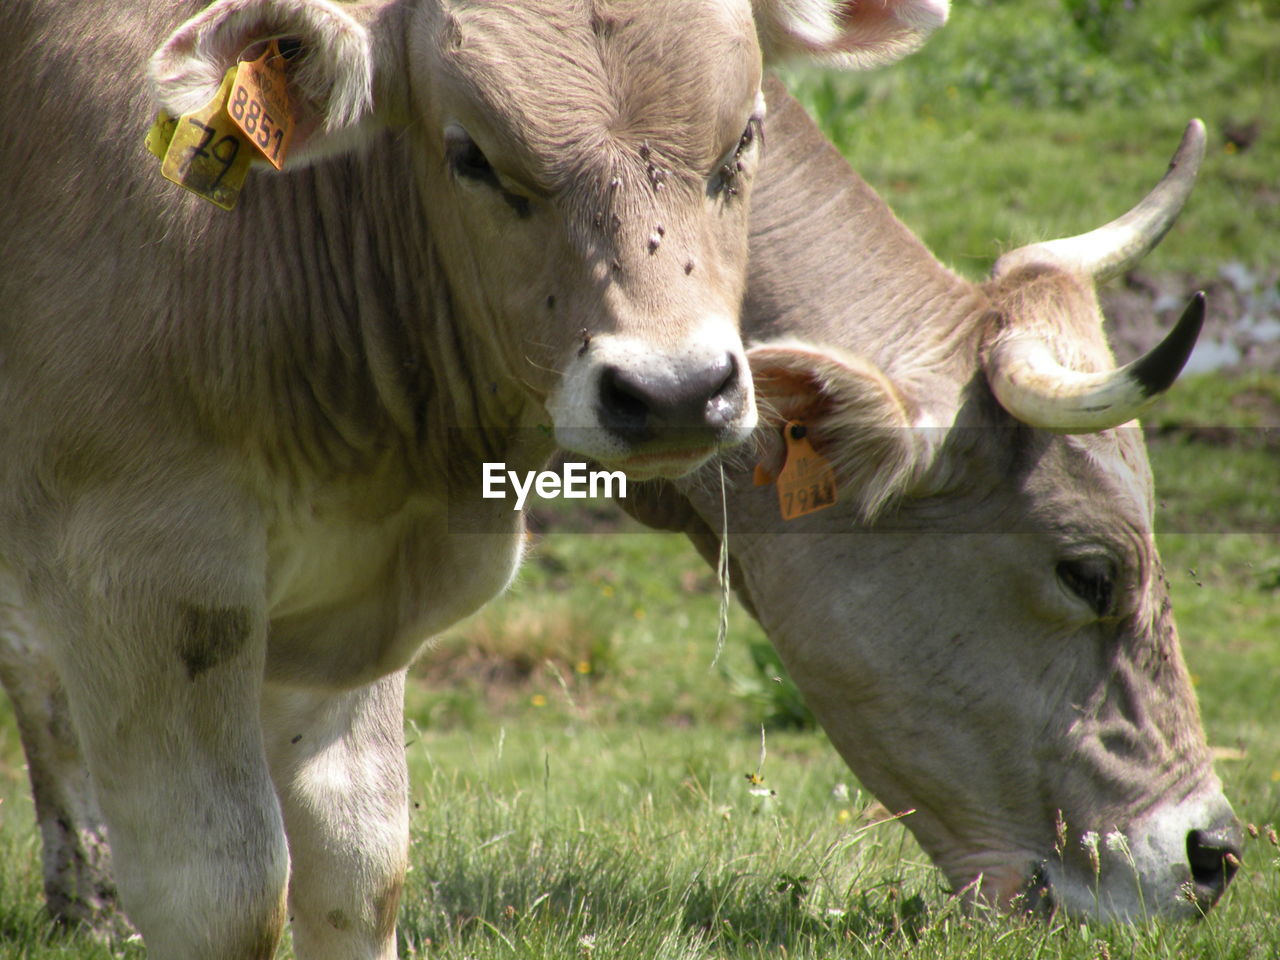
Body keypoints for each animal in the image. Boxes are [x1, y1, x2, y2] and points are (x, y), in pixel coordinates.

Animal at [0, 1, 952, 960]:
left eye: (744, 137)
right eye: (472, 157)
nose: (676, 392)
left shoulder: (338, 604)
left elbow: (357, 865)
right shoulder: (144, 573)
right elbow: (218, 891)